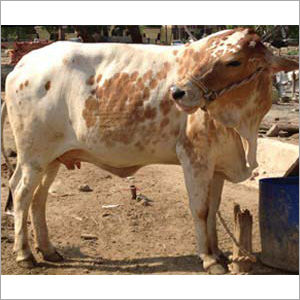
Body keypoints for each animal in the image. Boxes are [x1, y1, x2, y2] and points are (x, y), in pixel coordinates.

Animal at [1, 28, 298, 274]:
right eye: (204, 59)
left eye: (234, 61)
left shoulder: (217, 167)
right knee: (21, 193)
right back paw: (25, 254)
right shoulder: (195, 159)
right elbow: (201, 210)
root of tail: (23, 64)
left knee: (39, 199)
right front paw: (209, 259)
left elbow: (213, 209)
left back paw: (48, 250)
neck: (243, 128)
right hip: (32, 158)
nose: (178, 92)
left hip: (51, 158)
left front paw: (219, 253)